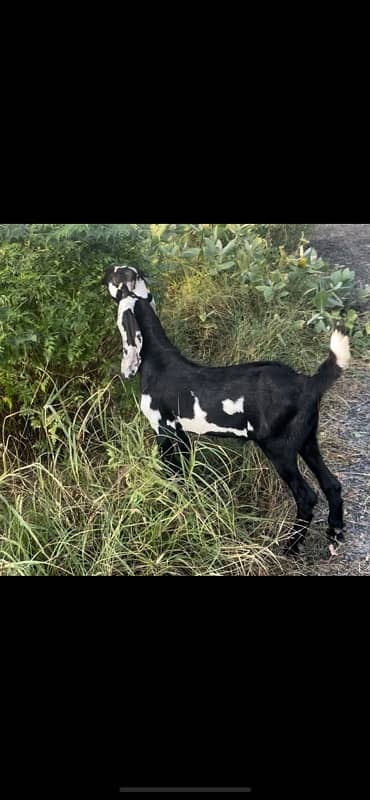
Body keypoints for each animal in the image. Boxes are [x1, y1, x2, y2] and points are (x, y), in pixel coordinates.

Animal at [103, 266, 350, 552]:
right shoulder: (182, 435)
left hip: (280, 449)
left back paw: (291, 546)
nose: (106, 270)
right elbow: (183, 475)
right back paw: (335, 533)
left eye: (119, 276)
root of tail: (308, 383)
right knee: (332, 484)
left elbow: (169, 473)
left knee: (307, 496)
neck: (158, 360)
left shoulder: (163, 431)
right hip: (307, 441)